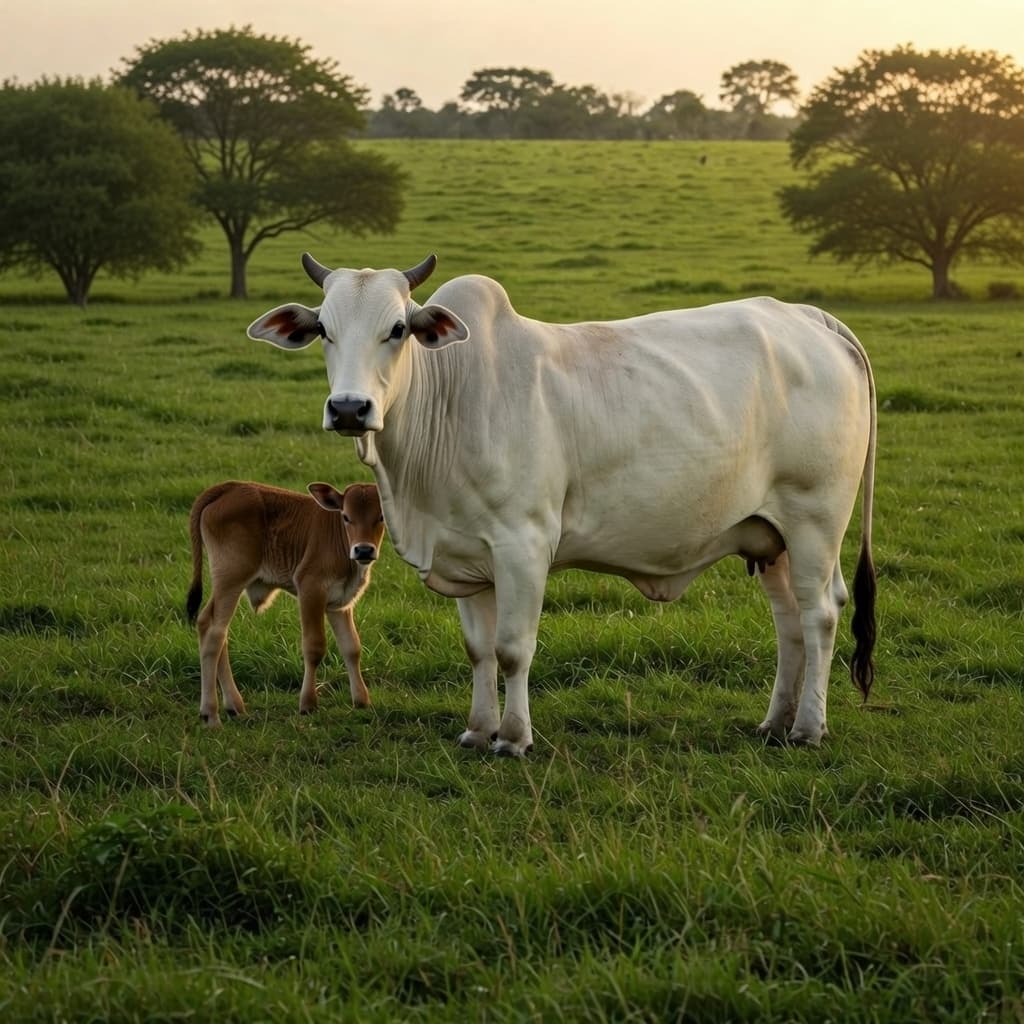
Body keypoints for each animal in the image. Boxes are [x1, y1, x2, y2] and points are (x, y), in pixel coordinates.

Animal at [186, 480, 385, 727]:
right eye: (346, 517)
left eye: (381, 517)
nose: (364, 549)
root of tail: (230, 486)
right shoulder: (310, 591)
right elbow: (314, 647)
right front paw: (308, 703)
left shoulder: (339, 605)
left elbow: (352, 647)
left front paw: (361, 700)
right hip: (230, 579)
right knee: (216, 633)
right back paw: (211, 714)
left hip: (225, 585)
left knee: (210, 625)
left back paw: (233, 705)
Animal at [247, 254, 876, 755]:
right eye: (324, 329)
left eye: (397, 328)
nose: (349, 408)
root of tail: (809, 318)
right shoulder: (466, 554)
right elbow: (478, 651)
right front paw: (477, 730)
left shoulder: (522, 546)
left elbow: (512, 650)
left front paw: (513, 737)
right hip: (771, 537)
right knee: (788, 623)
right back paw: (775, 722)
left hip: (815, 522)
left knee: (819, 614)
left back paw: (808, 728)